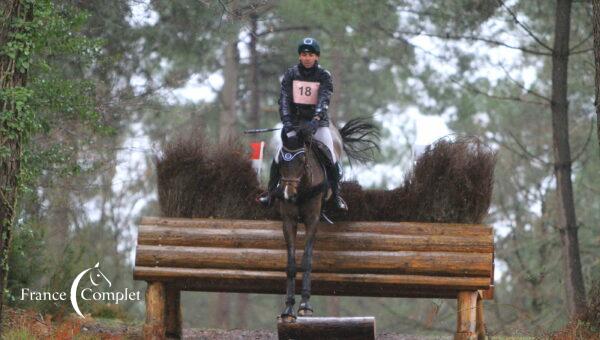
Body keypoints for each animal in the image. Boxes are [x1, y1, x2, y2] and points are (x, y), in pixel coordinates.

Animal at [278, 117, 380, 322]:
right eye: (281, 161)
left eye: (302, 160)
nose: (288, 194)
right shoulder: (289, 220)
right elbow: (291, 263)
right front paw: (288, 308)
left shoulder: (312, 220)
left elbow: (306, 260)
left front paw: (305, 305)